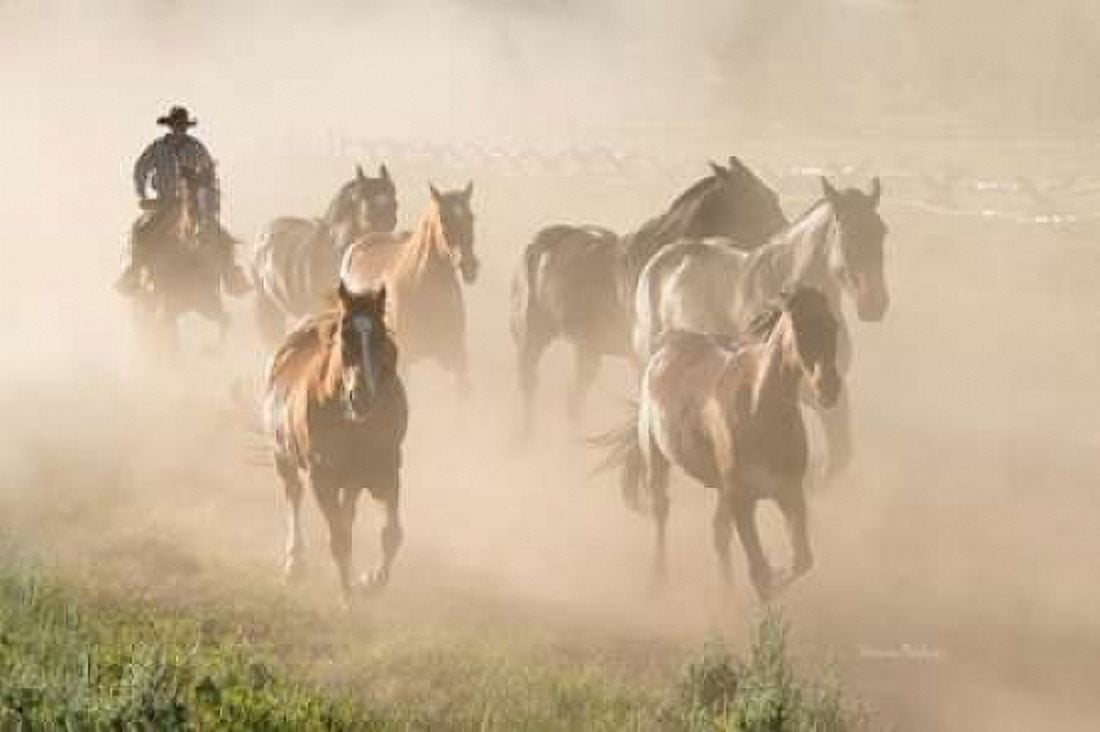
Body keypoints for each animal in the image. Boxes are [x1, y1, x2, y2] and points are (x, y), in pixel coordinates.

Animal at [132, 164, 237, 355]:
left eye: (214, 195)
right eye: (189, 201)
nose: (203, 234)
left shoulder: (207, 301)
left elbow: (225, 321)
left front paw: (211, 351)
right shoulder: (168, 310)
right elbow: (171, 343)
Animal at [263, 282, 406, 607]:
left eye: (380, 336)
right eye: (345, 335)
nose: (362, 398)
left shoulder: (387, 471)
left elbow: (391, 535)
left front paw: (369, 581)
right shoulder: (323, 477)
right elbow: (339, 539)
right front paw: (348, 596)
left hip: (354, 479)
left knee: (348, 512)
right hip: (283, 456)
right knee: (294, 493)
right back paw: (295, 563)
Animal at [511, 156, 788, 438]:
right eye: (759, 199)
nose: (783, 238)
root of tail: (537, 243)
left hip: (587, 350)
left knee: (573, 399)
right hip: (531, 338)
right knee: (529, 387)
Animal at [593, 288, 841, 601]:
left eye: (833, 325)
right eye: (798, 327)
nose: (829, 388)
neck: (760, 406)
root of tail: (666, 346)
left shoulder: (789, 492)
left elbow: (801, 559)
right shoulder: (741, 499)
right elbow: (759, 572)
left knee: (719, 535)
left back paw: (726, 592)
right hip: (657, 460)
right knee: (661, 512)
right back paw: (658, 582)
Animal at [633, 177, 888, 477]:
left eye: (882, 231)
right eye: (847, 232)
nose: (875, 304)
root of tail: (660, 259)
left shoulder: (829, 389)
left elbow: (839, 454)